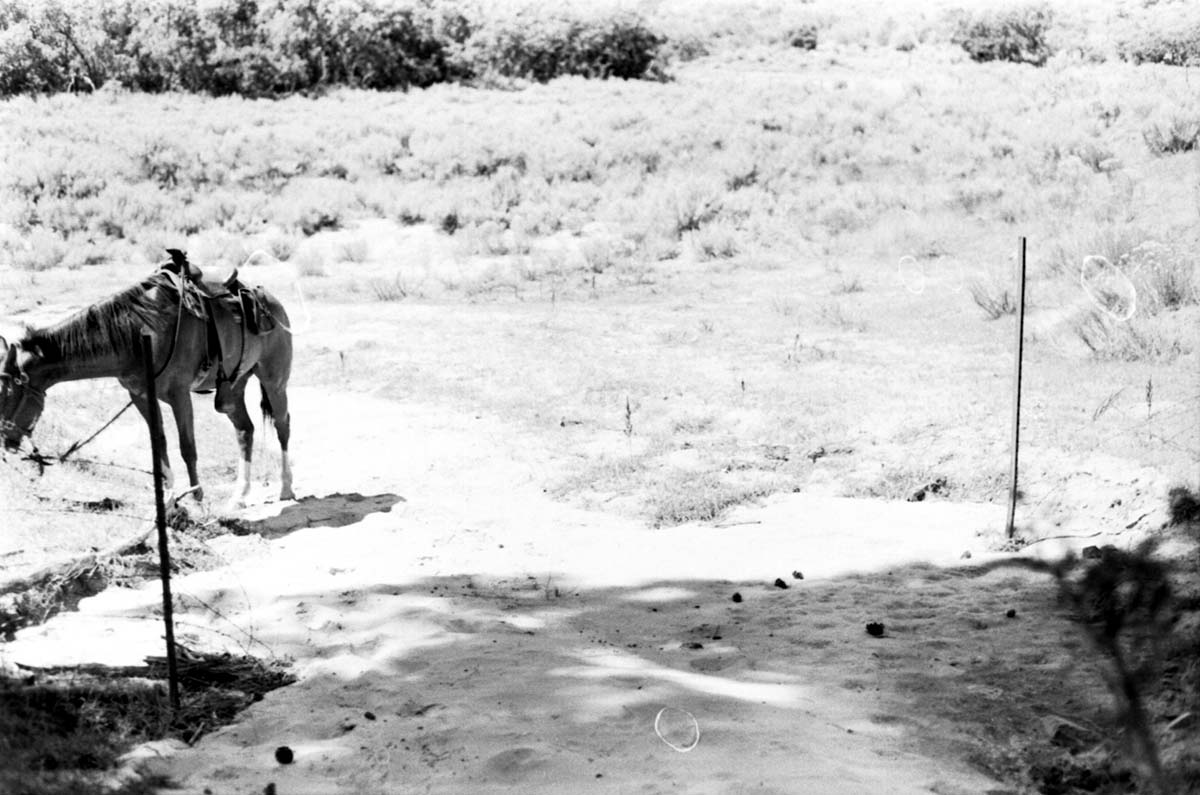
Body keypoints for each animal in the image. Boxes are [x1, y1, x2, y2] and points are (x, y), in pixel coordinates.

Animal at [0, 256, 294, 509]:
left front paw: (198, 502)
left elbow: (188, 448)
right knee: (245, 430)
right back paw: (239, 497)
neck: (141, 334)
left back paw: (286, 488)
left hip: (274, 381)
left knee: (283, 425)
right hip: (232, 389)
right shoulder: (140, 396)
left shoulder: (179, 395)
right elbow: (159, 444)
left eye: (8, 394)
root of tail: (271, 301)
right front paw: (171, 501)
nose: (5, 442)